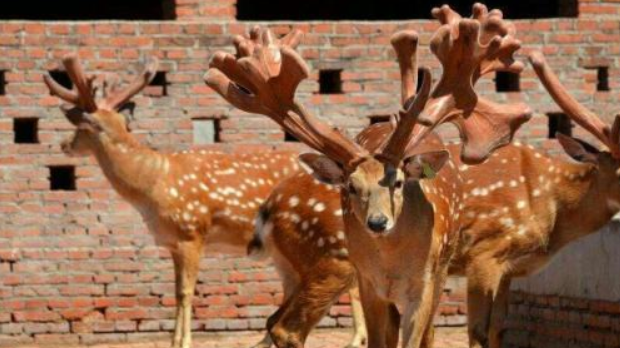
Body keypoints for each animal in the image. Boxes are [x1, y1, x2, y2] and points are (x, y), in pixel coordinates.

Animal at [42, 53, 302, 348]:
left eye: (81, 126)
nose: (64, 145)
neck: (155, 183)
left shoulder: (192, 232)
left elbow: (187, 292)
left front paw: (186, 341)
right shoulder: (173, 243)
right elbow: (176, 292)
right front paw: (174, 341)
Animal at [205, 3, 532, 346]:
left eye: (398, 182)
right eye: (350, 186)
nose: (377, 222)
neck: (392, 264)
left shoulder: (424, 284)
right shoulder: (367, 283)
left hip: (428, 265)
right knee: (284, 324)